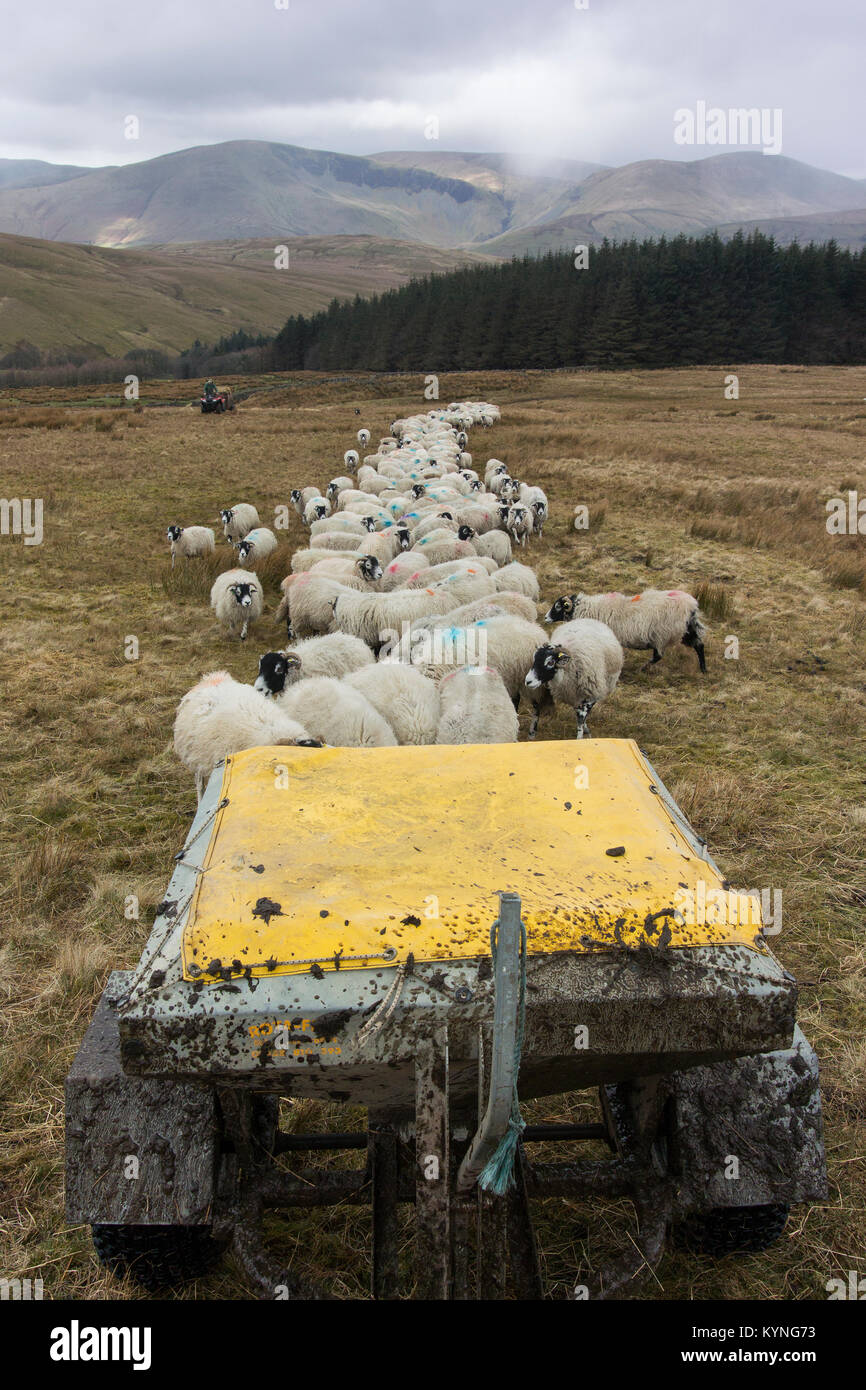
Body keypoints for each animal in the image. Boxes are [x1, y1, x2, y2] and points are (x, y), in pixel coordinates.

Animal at [544, 586, 708, 672]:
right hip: (686, 631)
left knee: (658, 656)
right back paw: (703, 669)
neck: (588, 610)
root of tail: (692, 606)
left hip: (663, 634)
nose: (545, 618)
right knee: (699, 645)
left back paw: (643, 668)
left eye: (557, 606)